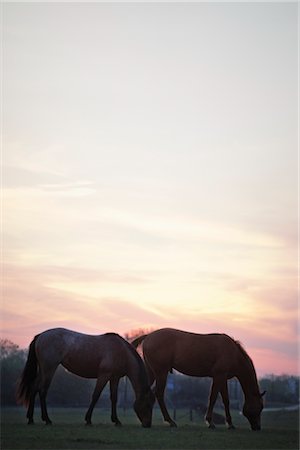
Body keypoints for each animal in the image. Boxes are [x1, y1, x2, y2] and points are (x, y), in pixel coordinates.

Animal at [17, 326, 155, 426]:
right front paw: (88, 419)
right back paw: (47, 419)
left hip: (43, 370)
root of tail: (40, 336)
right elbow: (95, 396)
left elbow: (114, 398)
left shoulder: (114, 378)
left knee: (34, 388)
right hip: (49, 369)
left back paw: (31, 419)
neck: (121, 352)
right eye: (148, 404)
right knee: (42, 391)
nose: (148, 424)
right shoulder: (104, 375)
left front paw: (116, 420)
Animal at [131, 328, 264, 430]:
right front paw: (211, 422)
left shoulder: (223, 378)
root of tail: (149, 336)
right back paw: (170, 421)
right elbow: (213, 398)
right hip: (161, 373)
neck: (233, 353)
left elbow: (225, 400)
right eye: (260, 407)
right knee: (159, 394)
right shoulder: (219, 376)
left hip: (152, 372)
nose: (258, 427)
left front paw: (230, 424)